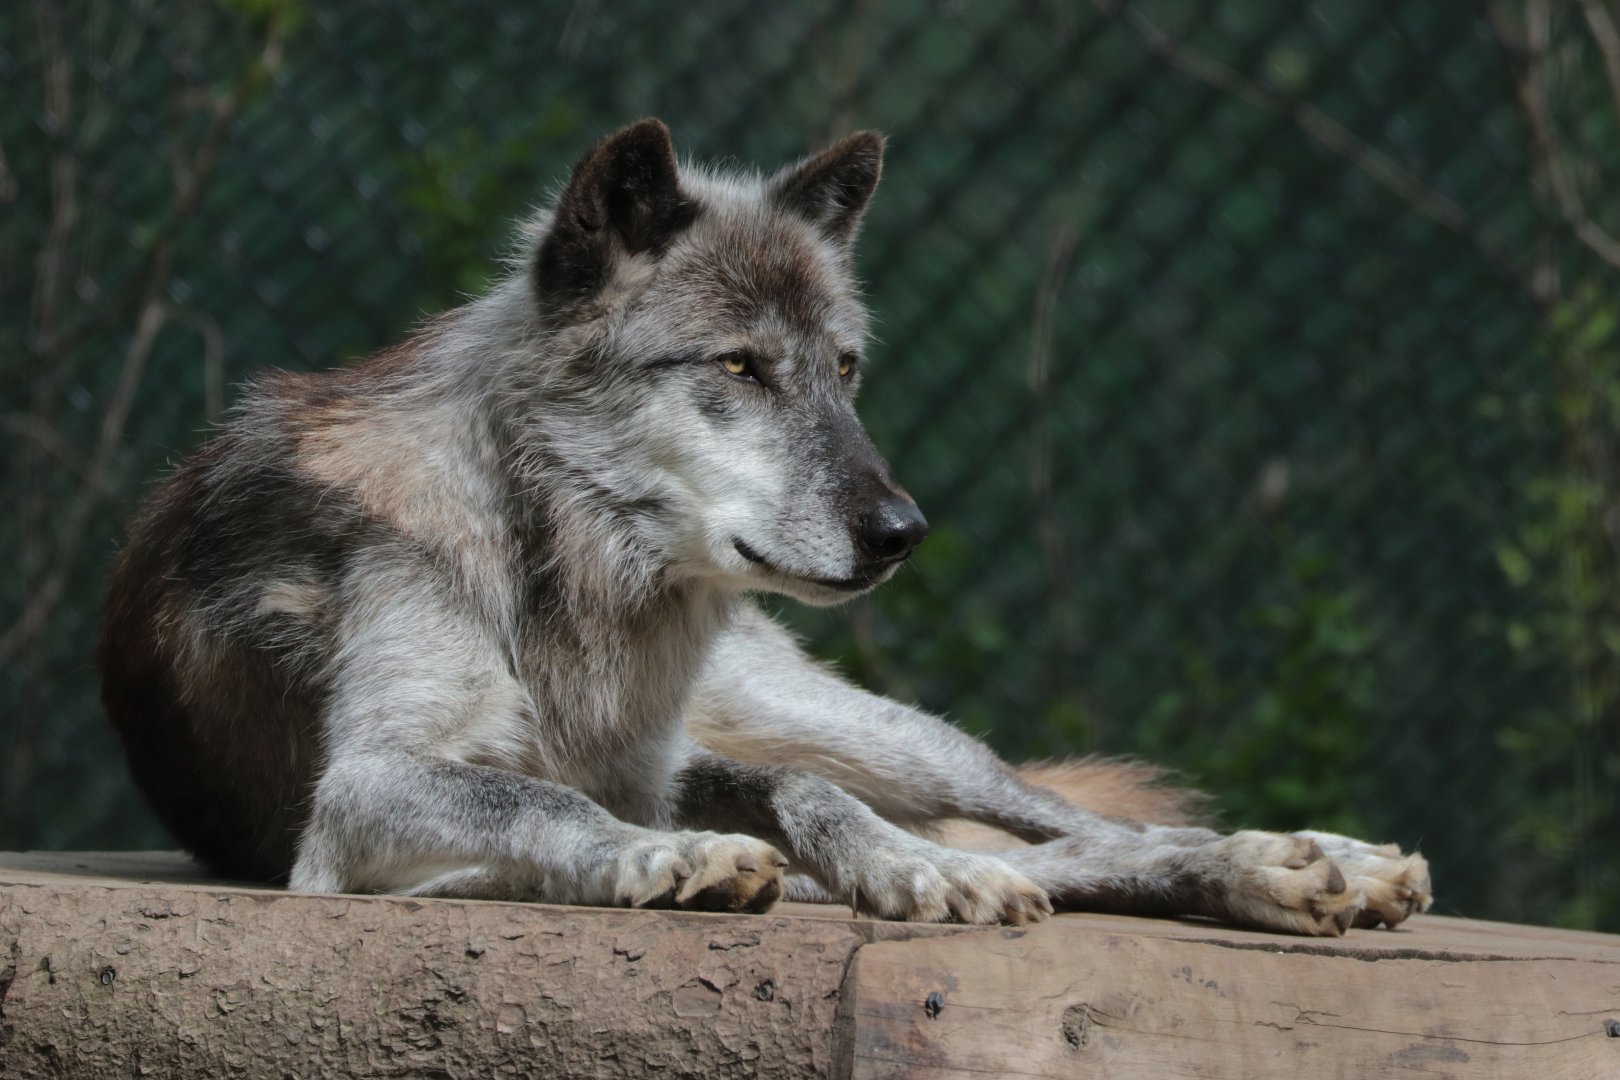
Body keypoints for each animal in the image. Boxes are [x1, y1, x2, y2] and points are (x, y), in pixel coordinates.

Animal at [99, 119, 1431, 934]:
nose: (902, 529)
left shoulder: (665, 761)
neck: (567, 564)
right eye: (739, 366)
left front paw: (905, 869)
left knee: (1063, 818)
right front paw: (671, 862)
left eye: (844, 369)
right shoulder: (361, 797)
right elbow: (538, 805)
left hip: (879, 731)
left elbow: (807, 801)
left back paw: (1299, 858)